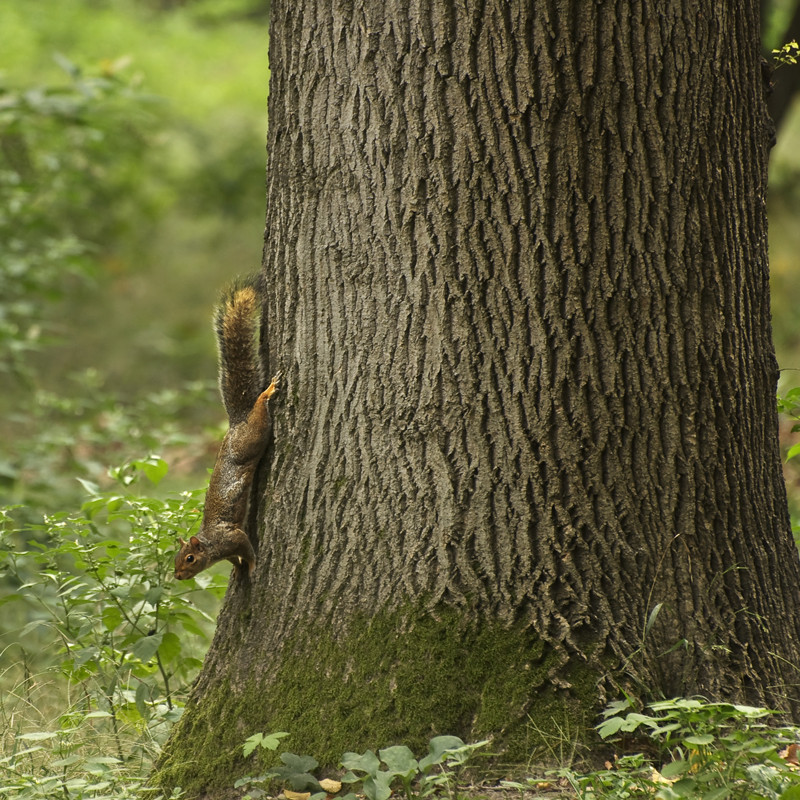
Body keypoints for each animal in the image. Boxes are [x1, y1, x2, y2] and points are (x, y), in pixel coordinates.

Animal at [173, 276, 280, 580]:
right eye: (176, 559)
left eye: (189, 558)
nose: (177, 576)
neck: (211, 544)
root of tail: (237, 422)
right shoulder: (228, 550)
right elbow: (236, 559)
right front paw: (241, 567)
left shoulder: (233, 537)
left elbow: (247, 548)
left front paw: (252, 567)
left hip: (253, 435)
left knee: (260, 413)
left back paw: (267, 392)